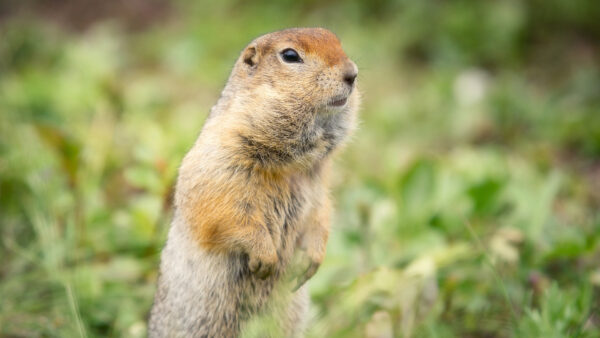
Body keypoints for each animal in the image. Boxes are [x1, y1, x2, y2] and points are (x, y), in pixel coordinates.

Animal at [148, 27, 358, 336]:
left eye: (337, 41)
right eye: (290, 55)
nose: (352, 74)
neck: (290, 164)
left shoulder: (318, 183)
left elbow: (321, 213)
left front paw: (311, 260)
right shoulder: (221, 160)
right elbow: (226, 213)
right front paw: (265, 259)